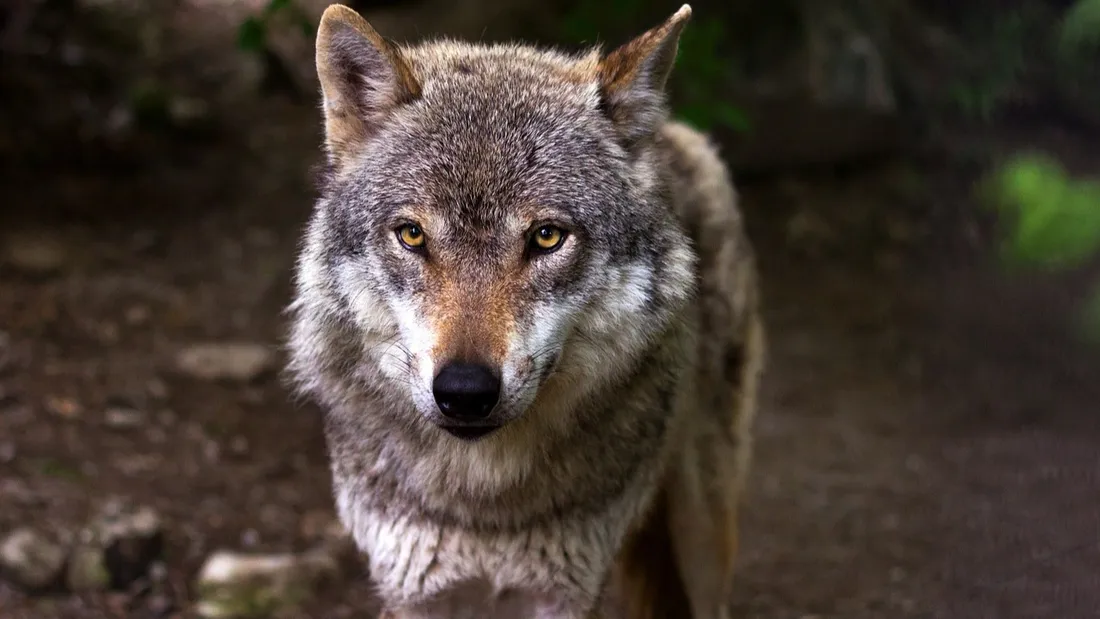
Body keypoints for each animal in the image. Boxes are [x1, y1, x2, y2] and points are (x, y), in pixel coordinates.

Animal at [285, 3, 766, 618]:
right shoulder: (412, 589)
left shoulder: (567, 592)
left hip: (702, 533)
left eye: (546, 237)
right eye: (412, 235)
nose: (465, 391)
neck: (486, 503)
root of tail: (675, 133)